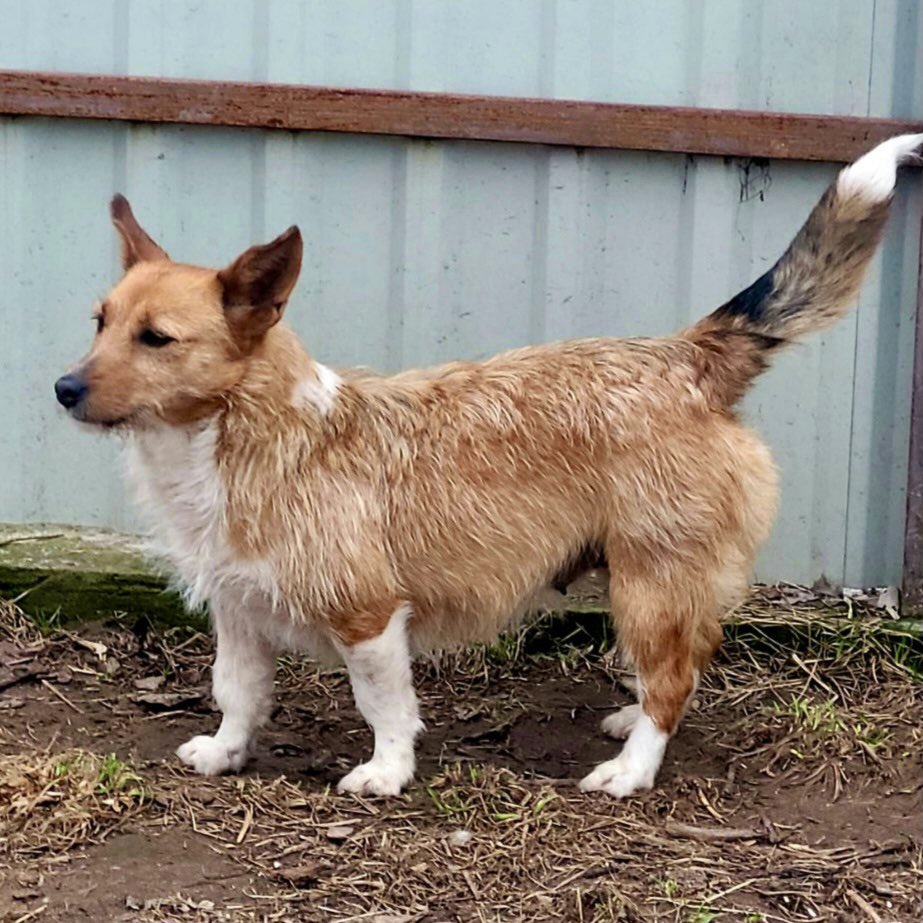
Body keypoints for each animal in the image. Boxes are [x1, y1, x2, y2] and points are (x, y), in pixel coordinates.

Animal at [56, 132, 916, 800]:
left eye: (156, 338)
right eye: (99, 322)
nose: (62, 389)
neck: (246, 432)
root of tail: (687, 354)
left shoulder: (370, 618)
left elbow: (384, 706)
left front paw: (386, 772)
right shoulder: (237, 611)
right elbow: (236, 692)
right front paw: (226, 751)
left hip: (649, 583)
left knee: (673, 680)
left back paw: (631, 768)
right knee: (681, 665)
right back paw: (629, 718)